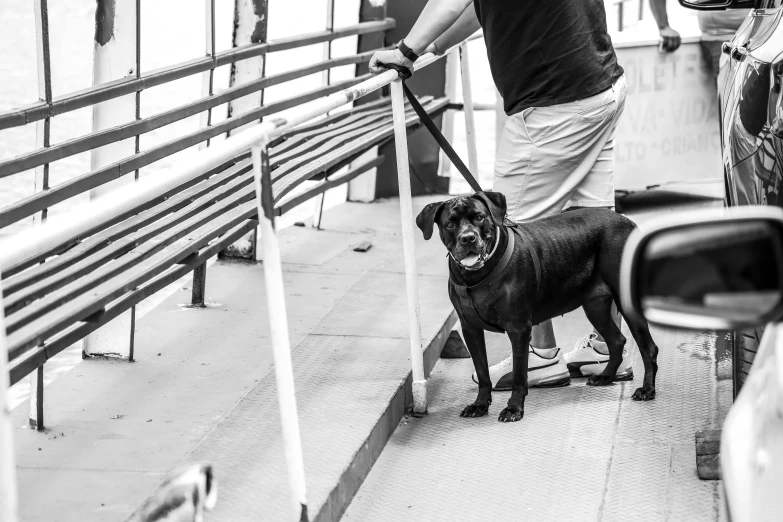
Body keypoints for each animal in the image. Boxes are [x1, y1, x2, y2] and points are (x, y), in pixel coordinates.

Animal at [416, 191, 660, 422]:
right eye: (450, 224)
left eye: (479, 217)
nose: (468, 238)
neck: (476, 276)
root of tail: (627, 221)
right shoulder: (470, 329)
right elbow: (482, 371)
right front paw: (480, 405)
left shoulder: (518, 329)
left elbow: (519, 374)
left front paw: (514, 408)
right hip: (595, 306)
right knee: (616, 340)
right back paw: (606, 376)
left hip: (626, 301)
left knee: (648, 348)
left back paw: (647, 389)